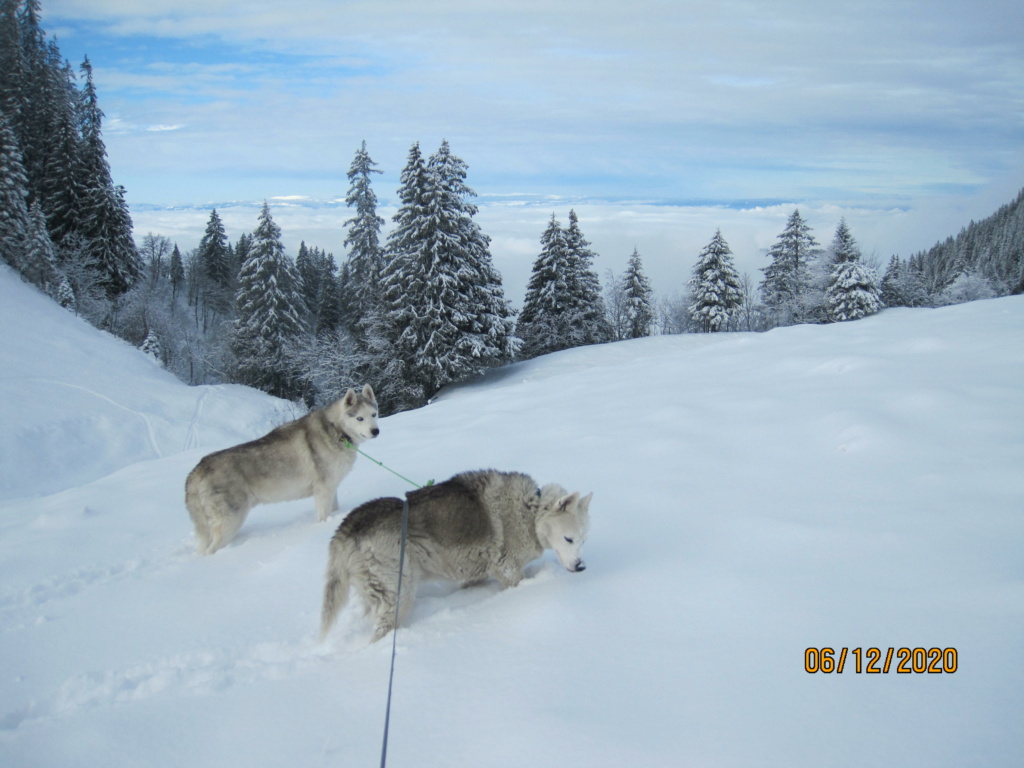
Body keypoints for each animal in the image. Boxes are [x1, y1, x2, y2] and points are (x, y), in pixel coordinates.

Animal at [185, 382, 380, 552]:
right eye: (359, 418)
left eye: (374, 414)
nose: (376, 431)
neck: (337, 430)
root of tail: (198, 468)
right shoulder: (323, 490)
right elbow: (323, 516)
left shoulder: (331, 487)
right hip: (230, 520)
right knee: (210, 550)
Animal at [319, 468, 593, 643]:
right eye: (568, 539)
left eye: (583, 540)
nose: (581, 567)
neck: (530, 510)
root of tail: (349, 525)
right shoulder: (508, 571)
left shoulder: (474, 572)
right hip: (399, 595)